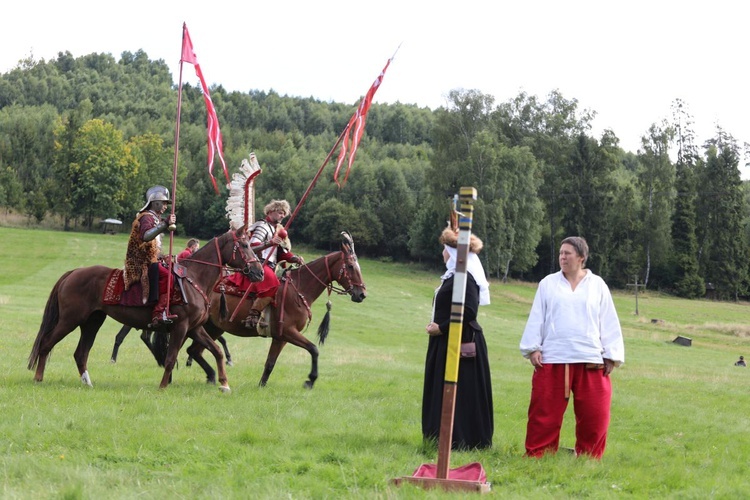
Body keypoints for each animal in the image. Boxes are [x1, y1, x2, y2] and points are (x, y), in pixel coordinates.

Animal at [27, 227, 264, 390]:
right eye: (245, 246)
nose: (259, 272)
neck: (194, 278)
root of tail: (73, 272)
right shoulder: (181, 327)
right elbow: (171, 357)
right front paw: (163, 386)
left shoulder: (195, 329)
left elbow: (216, 351)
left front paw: (224, 383)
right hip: (70, 319)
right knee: (47, 343)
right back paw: (38, 378)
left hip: (92, 321)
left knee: (80, 353)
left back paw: (88, 383)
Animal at [185, 232, 368, 388]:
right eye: (350, 266)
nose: (361, 294)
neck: (299, 289)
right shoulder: (287, 332)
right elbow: (313, 349)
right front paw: (311, 379)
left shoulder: (281, 338)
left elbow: (270, 363)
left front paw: (261, 385)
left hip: (214, 328)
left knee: (194, 350)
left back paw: (211, 376)